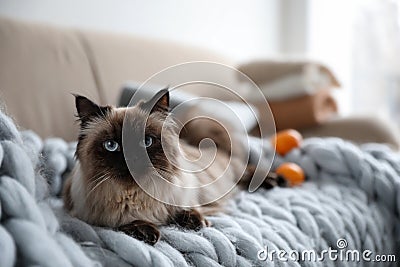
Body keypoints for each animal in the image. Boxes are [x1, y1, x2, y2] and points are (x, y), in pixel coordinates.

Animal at [63, 89, 284, 245]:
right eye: (111, 145)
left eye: (147, 141)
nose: (132, 159)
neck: (137, 195)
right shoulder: (95, 217)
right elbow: (126, 222)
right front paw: (148, 232)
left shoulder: (187, 199)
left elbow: (188, 211)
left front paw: (196, 223)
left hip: (231, 174)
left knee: (247, 172)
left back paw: (275, 180)